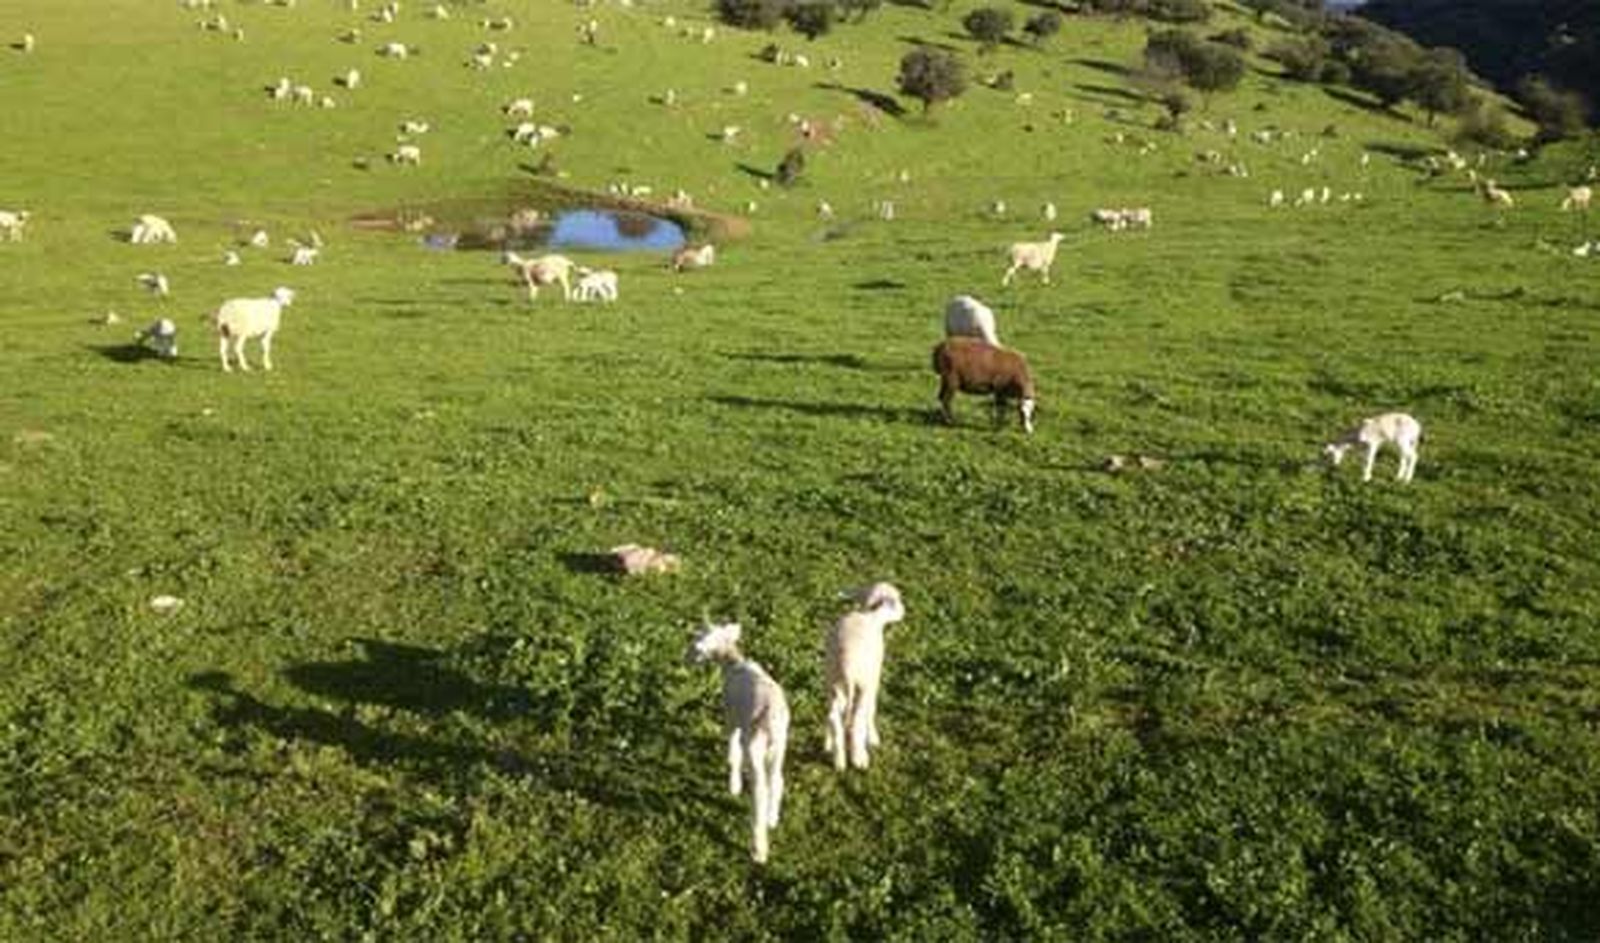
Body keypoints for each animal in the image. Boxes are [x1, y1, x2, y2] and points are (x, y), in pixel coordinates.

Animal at [687, 621, 790, 865]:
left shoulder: (731, 717)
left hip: (756, 745)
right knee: (777, 780)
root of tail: (770, 717)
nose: (686, 660)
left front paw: (733, 785)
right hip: (779, 745)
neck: (733, 661)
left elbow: (733, 748)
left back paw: (759, 848)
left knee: (760, 790)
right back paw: (772, 818)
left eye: (696, 644)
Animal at [824, 582, 906, 772]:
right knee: (856, 720)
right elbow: (872, 708)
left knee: (833, 716)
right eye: (897, 600)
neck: (873, 616)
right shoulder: (874, 678)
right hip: (862, 685)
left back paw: (837, 758)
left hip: (833, 683)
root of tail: (847, 666)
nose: (904, 611)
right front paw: (873, 737)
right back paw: (859, 758)